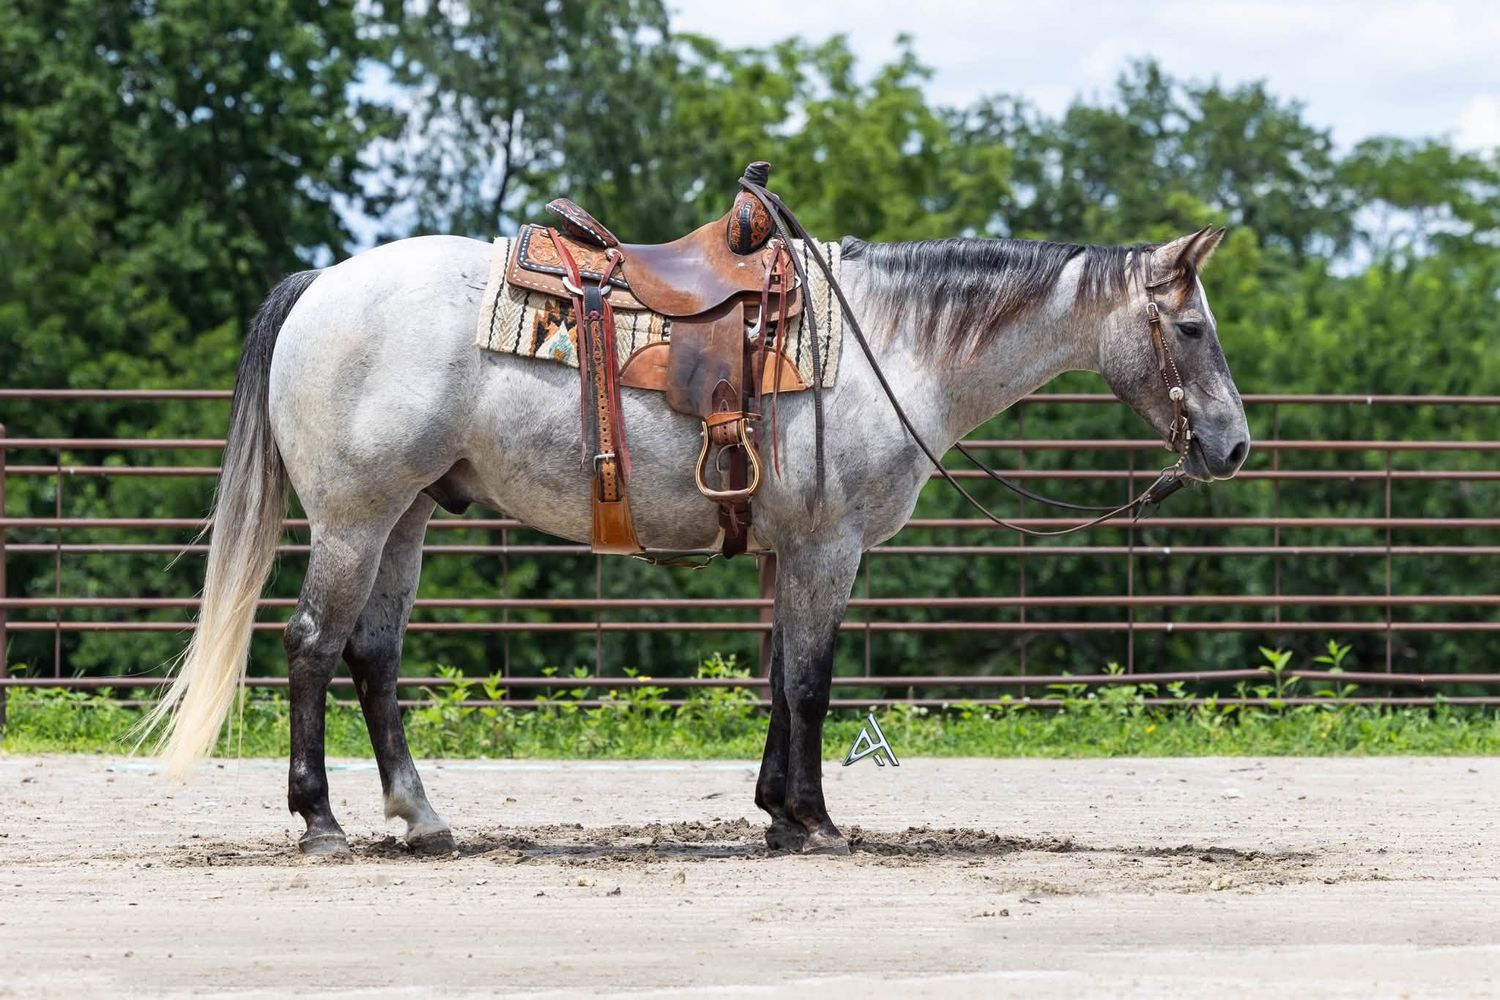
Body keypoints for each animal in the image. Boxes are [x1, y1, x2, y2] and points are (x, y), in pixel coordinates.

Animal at [145, 224, 1248, 856]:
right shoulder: (829, 547)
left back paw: (422, 820)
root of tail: (322, 283)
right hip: (354, 517)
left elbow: (779, 679)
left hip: (407, 515)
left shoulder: (789, 550)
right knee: (311, 647)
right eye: (1193, 328)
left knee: (372, 657)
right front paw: (816, 822)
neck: (893, 346)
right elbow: (811, 683)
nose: (1234, 444)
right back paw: (321, 822)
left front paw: (775, 813)